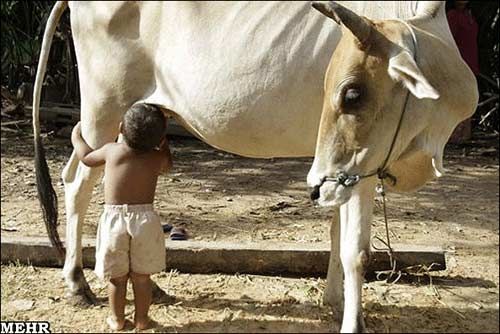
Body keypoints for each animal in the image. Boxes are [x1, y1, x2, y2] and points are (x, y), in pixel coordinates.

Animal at [32, 1, 472, 332]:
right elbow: (356, 251)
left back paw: (148, 287)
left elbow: (334, 232)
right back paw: (77, 283)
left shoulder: (342, 169)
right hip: (103, 114)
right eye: (351, 93)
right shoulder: (359, 167)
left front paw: (333, 300)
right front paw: (351, 320)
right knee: (78, 183)